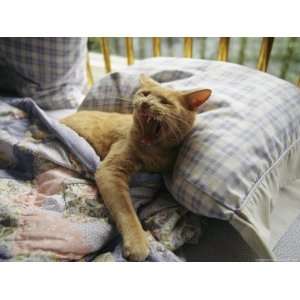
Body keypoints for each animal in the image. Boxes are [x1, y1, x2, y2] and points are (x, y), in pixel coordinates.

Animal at [61, 75, 211, 260]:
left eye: (165, 102)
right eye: (145, 94)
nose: (145, 103)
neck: (154, 155)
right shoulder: (111, 170)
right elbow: (126, 210)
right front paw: (137, 243)